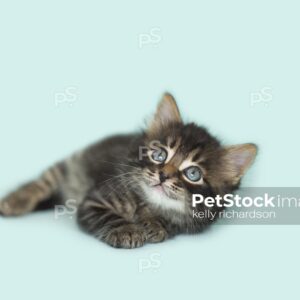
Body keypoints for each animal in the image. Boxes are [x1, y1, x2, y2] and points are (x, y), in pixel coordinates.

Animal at [0, 94, 258, 248]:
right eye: (159, 155)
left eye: (193, 174)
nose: (163, 175)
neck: (149, 203)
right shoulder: (94, 200)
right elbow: (109, 216)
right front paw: (128, 230)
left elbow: (169, 223)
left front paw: (156, 225)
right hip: (69, 165)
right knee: (41, 183)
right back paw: (15, 202)